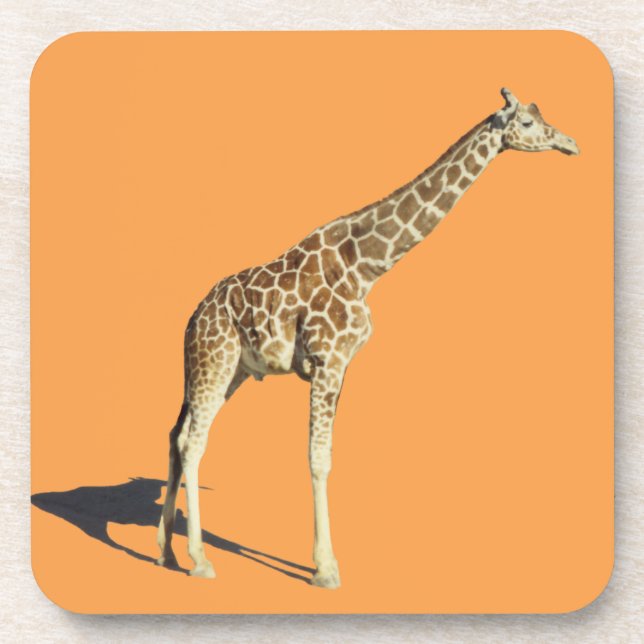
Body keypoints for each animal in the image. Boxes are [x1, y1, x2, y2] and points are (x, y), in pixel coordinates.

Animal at [156, 88, 579, 588]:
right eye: (528, 123)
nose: (570, 143)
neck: (368, 264)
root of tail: (192, 318)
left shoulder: (342, 366)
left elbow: (327, 455)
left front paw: (324, 563)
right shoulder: (327, 360)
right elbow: (318, 459)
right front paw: (325, 569)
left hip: (227, 369)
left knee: (177, 434)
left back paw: (165, 551)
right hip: (215, 360)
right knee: (192, 442)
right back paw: (199, 559)